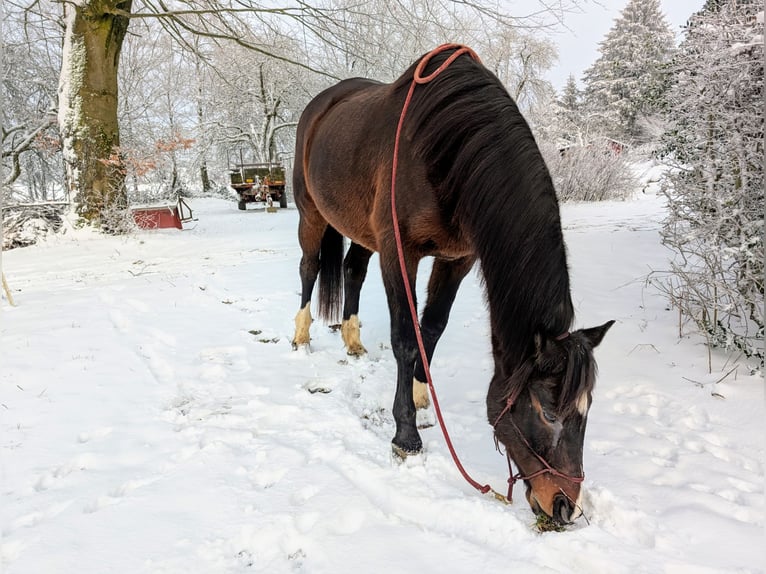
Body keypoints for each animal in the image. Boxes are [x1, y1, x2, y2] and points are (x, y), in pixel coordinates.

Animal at [292, 45, 616, 528]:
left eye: (587, 408)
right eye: (548, 411)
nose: (563, 506)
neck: (443, 153)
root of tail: (320, 105)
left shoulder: (458, 259)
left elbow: (432, 330)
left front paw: (420, 393)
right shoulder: (400, 253)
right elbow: (405, 338)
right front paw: (405, 435)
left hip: (360, 230)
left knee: (352, 271)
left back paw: (352, 340)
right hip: (310, 214)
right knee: (309, 268)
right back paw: (300, 335)